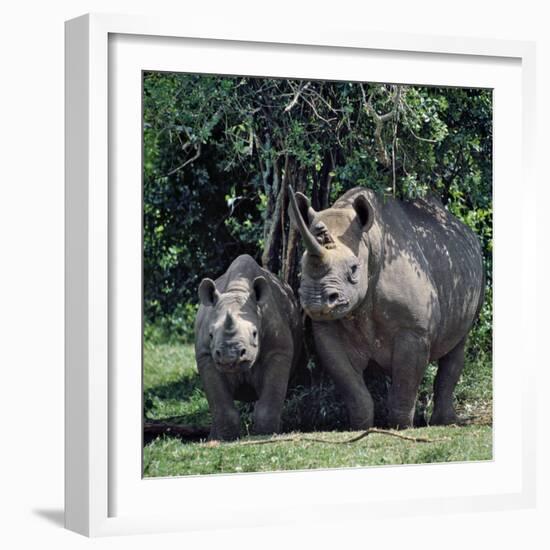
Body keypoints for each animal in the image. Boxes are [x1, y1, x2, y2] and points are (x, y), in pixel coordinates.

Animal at [195, 254, 306, 440]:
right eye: (210, 335)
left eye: (255, 333)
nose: (229, 356)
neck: (237, 290)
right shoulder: (206, 356)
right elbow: (220, 403)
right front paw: (225, 438)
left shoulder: (278, 350)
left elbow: (269, 401)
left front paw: (267, 434)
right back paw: (212, 439)